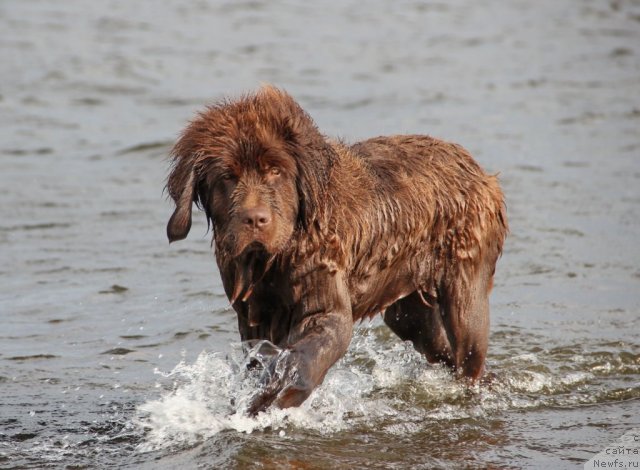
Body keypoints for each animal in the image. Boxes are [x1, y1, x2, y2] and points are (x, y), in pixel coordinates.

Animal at [168, 86, 508, 414]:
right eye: (227, 176)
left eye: (276, 171)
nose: (255, 219)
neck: (279, 256)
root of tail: (477, 169)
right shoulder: (253, 317)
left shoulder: (326, 304)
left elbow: (302, 355)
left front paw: (274, 394)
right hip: (407, 311)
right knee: (435, 344)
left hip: (466, 291)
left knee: (469, 353)